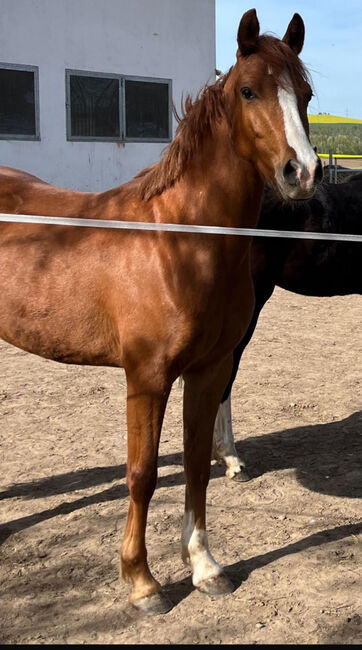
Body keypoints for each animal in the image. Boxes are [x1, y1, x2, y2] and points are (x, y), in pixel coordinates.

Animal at [0, 8, 320, 612]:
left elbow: (195, 462)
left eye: (307, 95)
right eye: (249, 90)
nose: (304, 174)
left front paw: (205, 567)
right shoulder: (146, 377)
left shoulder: (208, 370)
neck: (179, 241)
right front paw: (142, 581)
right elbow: (143, 472)